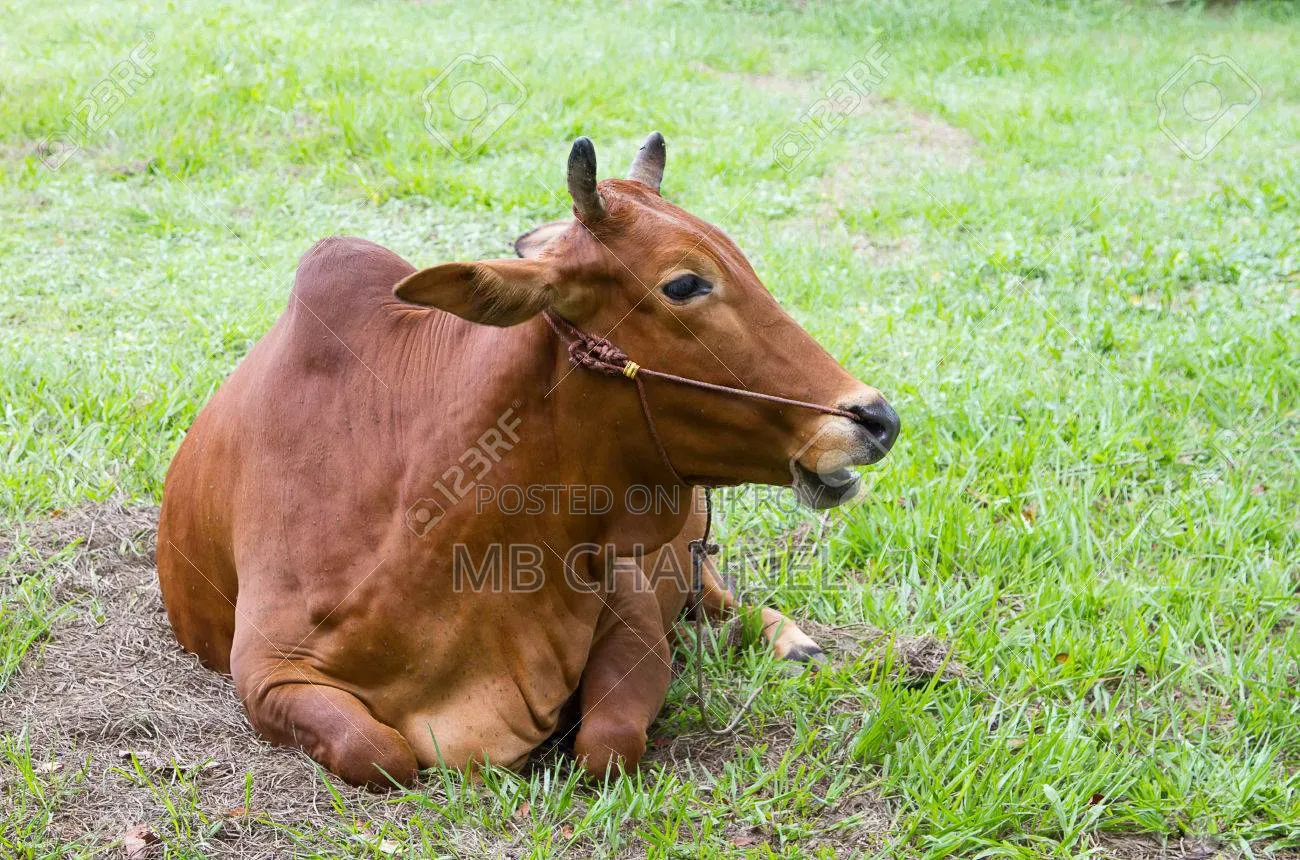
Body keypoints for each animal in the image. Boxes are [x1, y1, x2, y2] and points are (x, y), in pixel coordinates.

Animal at [156, 133, 899, 788]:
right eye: (685, 284)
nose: (877, 418)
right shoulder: (267, 671)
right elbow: (380, 753)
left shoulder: (627, 597)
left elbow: (607, 743)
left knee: (729, 603)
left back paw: (791, 641)